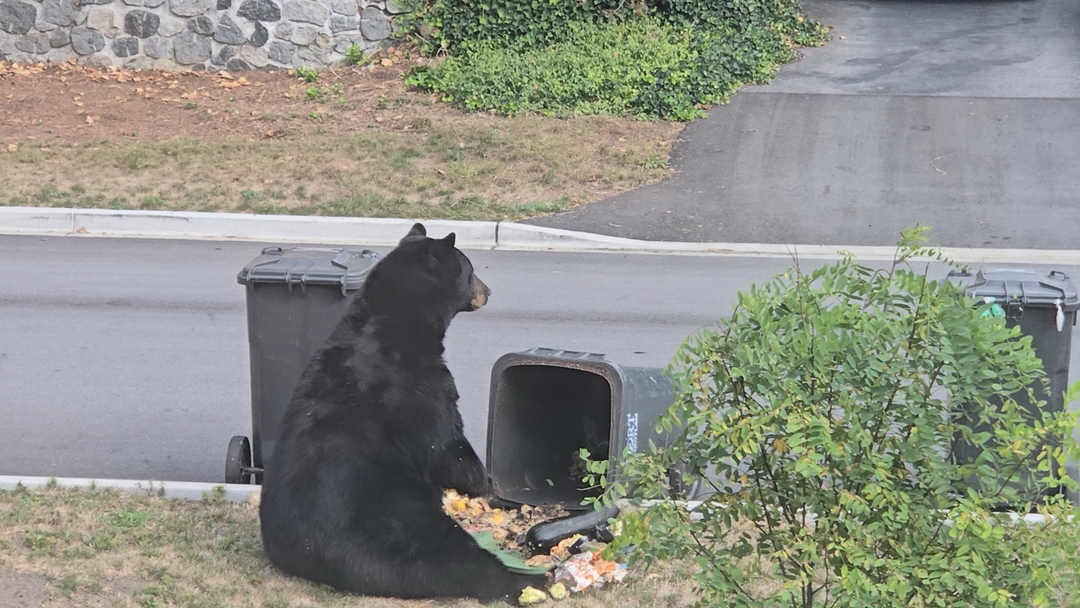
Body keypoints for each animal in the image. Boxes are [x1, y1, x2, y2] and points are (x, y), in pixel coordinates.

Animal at [259, 223, 547, 602]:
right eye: (471, 270)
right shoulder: (427, 387)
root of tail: (317, 556)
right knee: (458, 560)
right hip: (403, 521)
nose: (488, 291)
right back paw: (528, 582)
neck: (393, 323)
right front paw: (488, 486)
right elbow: (450, 445)